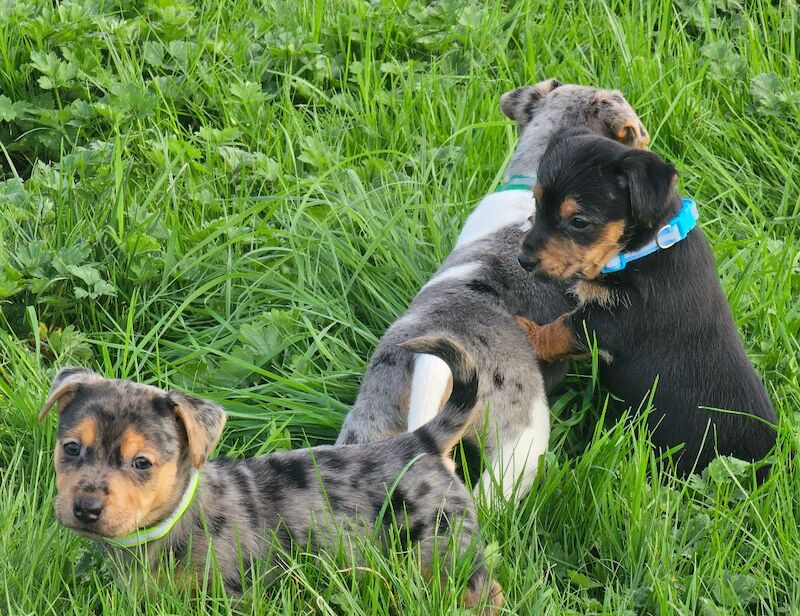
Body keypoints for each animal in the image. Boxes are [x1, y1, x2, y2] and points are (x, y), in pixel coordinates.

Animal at [39, 340, 500, 612]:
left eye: (142, 463)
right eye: (71, 448)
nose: (85, 508)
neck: (171, 519)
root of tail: (420, 441)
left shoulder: (231, 597)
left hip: (442, 549)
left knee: (482, 587)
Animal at [520, 129, 776, 476]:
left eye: (579, 222)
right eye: (536, 201)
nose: (523, 260)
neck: (649, 246)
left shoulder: (612, 322)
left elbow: (559, 330)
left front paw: (524, 330)